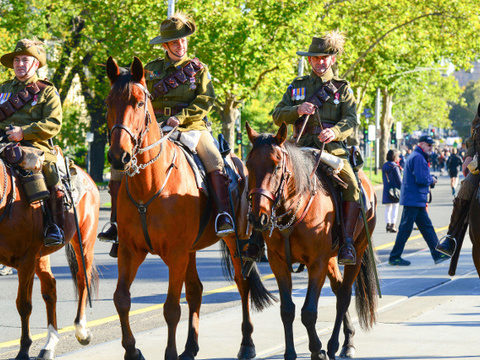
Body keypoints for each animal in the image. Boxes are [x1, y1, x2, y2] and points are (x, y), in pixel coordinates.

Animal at [0, 162, 99, 360]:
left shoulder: (26, 261)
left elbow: (24, 305)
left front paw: (23, 349)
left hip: (84, 241)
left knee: (82, 279)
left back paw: (81, 331)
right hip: (41, 255)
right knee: (50, 288)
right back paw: (49, 344)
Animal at [105, 57, 274, 360]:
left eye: (138, 102)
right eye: (108, 102)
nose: (118, 156)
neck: (150, 184)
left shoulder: (175, 254)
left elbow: (171, 307)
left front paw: (169, 353)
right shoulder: (130, 251)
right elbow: (121, 299)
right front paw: (132, 351)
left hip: (236, 241)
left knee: (242, 283)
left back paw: (246, 344)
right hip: (192, 250)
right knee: (196, 290)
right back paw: (190, 347)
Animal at [248, 123, 378, 360]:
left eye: (276, 166)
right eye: (248, 165)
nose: (257, 217)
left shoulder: (316, 263)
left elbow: (308, 312)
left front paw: (317, 350)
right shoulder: (278, 263)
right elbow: (287, 310)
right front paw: (290, 353)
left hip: (357, 248)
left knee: (344, 295)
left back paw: (338, 345)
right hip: (331, 258)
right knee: (338, 288)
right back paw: (346, 338)